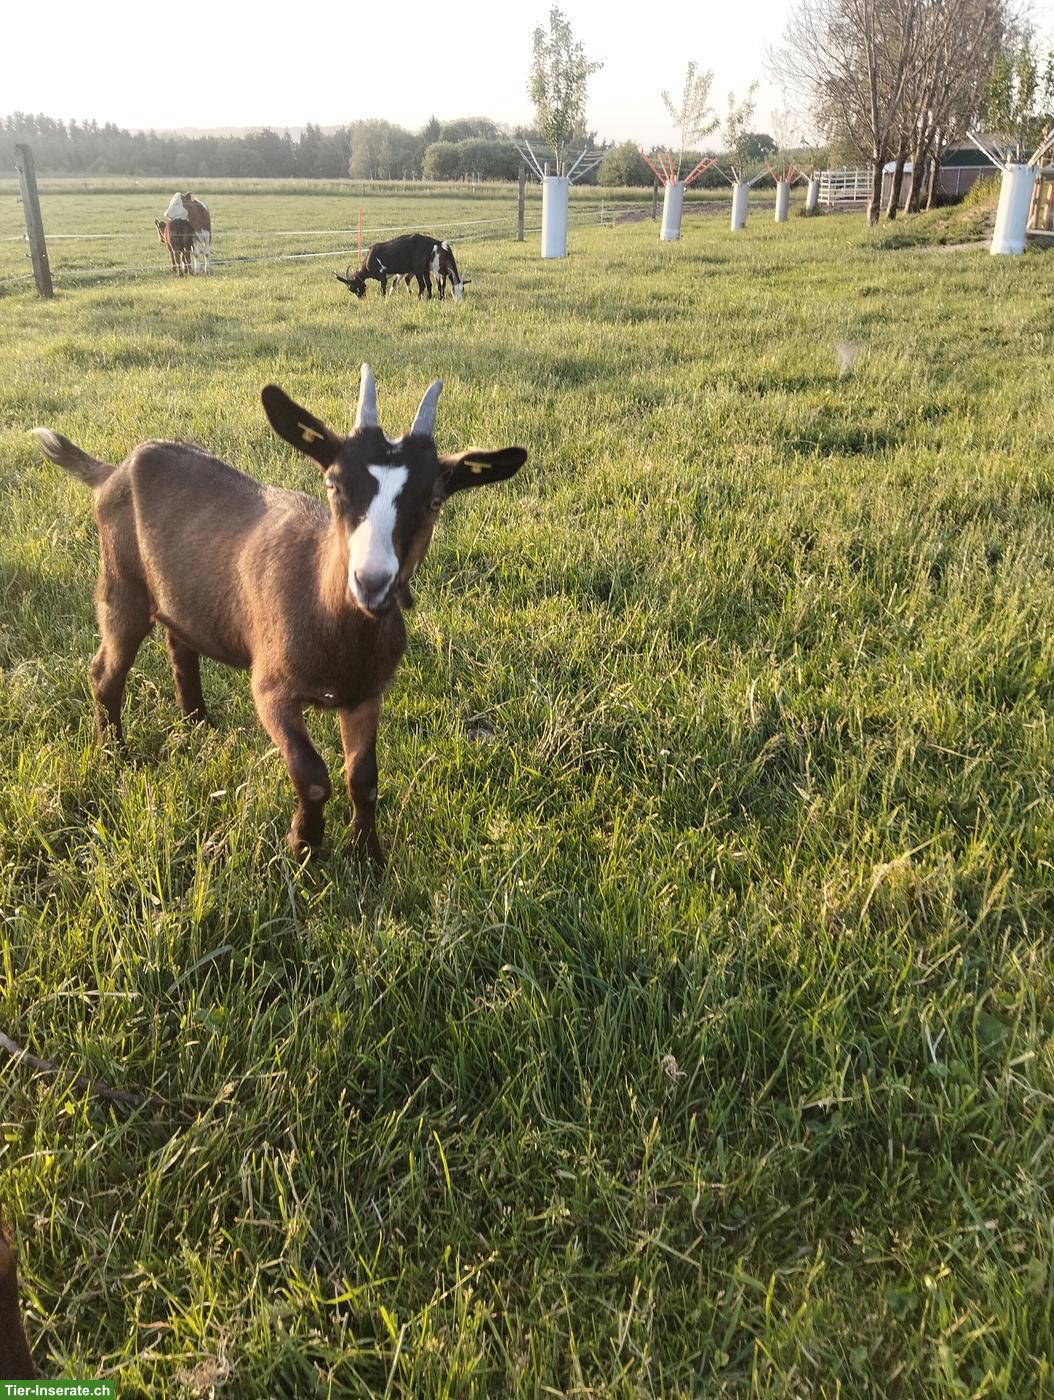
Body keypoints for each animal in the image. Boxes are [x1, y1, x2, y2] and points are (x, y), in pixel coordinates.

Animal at [32, 367, 526, 861]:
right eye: (334, 485)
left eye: (434, 501)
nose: (372, 582)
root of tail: (112, 472)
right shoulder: (271, 691)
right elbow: (312, 776)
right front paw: (303, 849)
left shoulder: (367, 693)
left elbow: (363, 779)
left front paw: (369, 856)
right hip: (122, 584)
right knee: (105, 670)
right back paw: (113, 754)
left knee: (180, 643)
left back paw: (198, 723)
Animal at [335, 234, 467, 301]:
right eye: (351, 290)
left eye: (355, 287)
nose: (361, 298)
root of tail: (432, 243)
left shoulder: (382, 275)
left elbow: (382, 289)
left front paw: (383, 300)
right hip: (424, 269)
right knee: (429, 284)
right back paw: (428, 298)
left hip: (418, 269)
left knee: (423, 285)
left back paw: (418, 298)